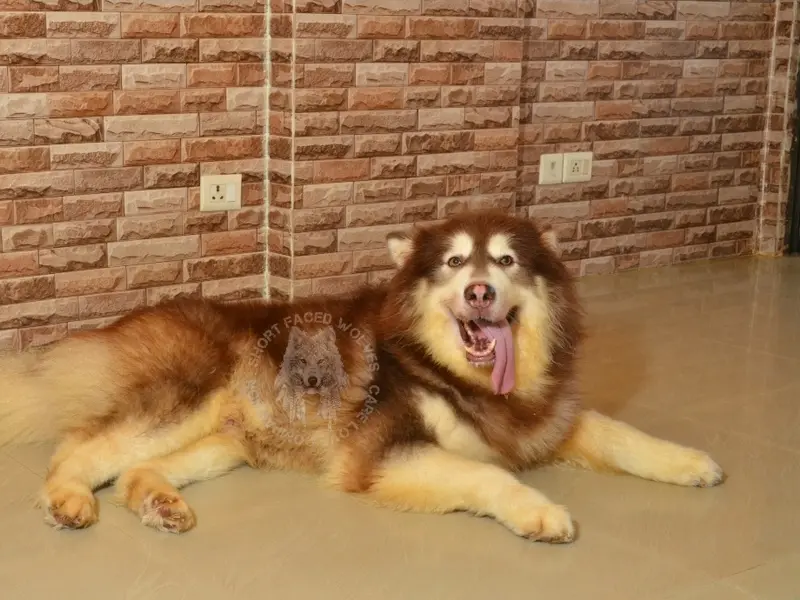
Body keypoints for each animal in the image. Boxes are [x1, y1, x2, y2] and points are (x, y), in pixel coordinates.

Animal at [0, 211, 724, 541]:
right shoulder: (385, 453)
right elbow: (488, 475)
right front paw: (539, 510)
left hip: (232, 440)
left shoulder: (538, 420)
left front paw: (689, 461)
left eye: (507, 261)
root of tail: (131, 317)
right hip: (181, 401)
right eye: (455, 262)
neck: (448, 370)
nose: (481, 292)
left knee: (133, 470)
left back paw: (159, 500)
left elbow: (617, 431)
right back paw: (68, 498)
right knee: (81, 447)